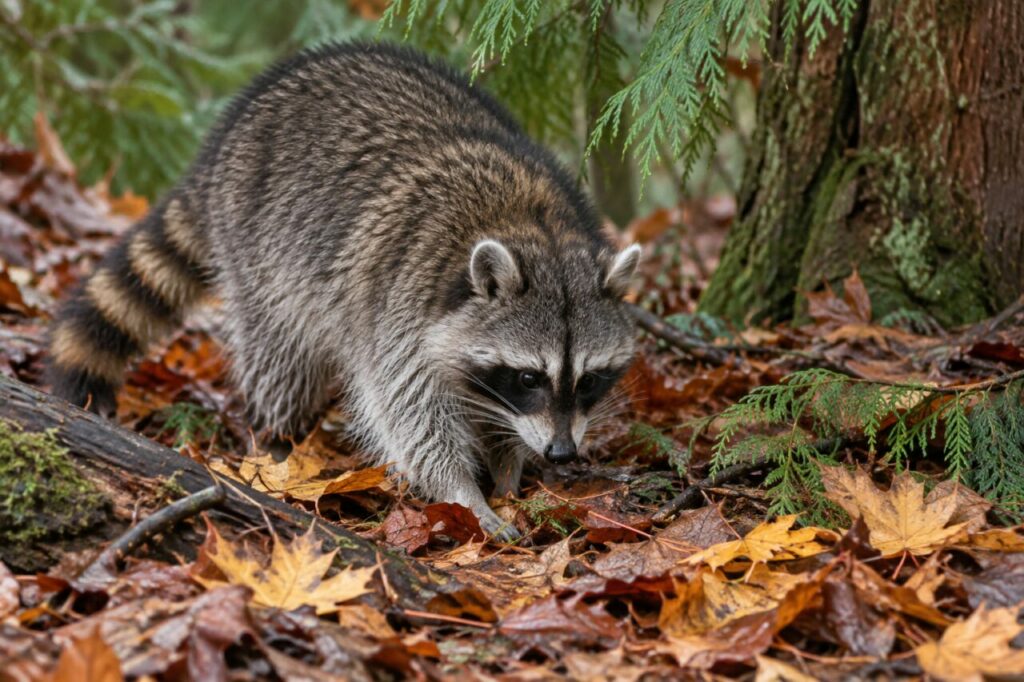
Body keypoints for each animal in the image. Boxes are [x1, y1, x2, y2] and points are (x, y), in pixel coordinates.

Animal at [47, 42, 640, 540]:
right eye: (528, 377)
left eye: (589, 380)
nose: (562, 453)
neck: (533, 227)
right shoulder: (401, 302)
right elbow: (411, 412)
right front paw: (465, 494)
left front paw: (508, 465)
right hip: (259, 250)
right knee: (279, 354)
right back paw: (278, 438)